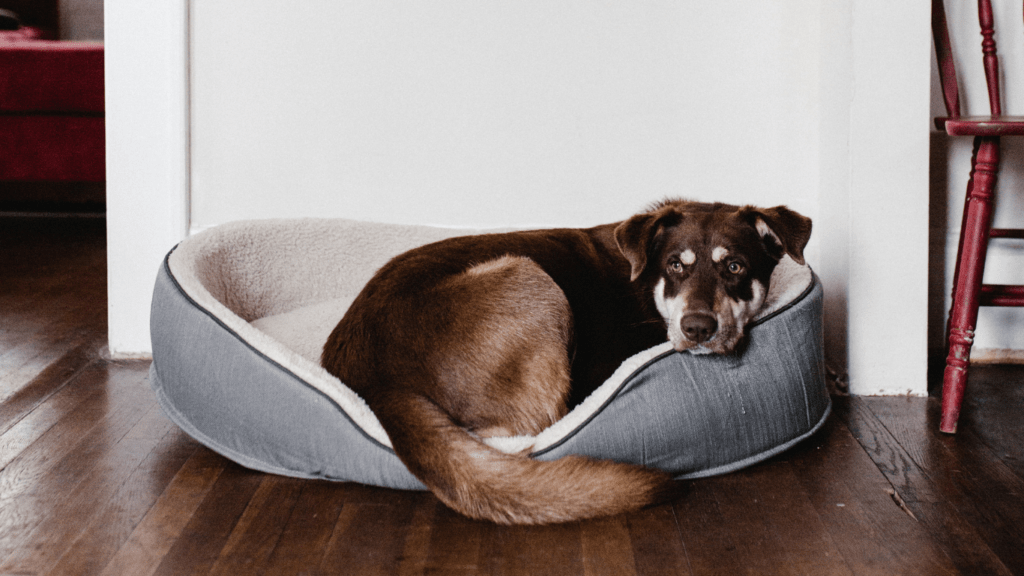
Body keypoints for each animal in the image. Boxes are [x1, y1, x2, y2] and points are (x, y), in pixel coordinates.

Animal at [323, 198, 811, 524]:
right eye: (675, 265)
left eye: (735, 266)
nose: (697, 328)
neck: (647, 285)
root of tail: (375, 381)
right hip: (529, 276)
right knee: (531, 429)